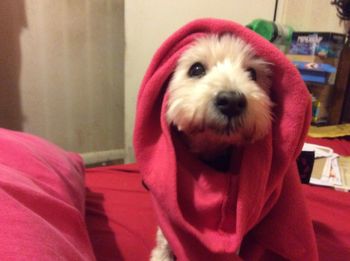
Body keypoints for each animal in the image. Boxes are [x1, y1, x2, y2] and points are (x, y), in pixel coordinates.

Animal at [150, 33, 274, 258]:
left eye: (252, 73)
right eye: (196, 69)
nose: (232, 101)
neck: (210, 149)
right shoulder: (167, 226)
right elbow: (164, 245)